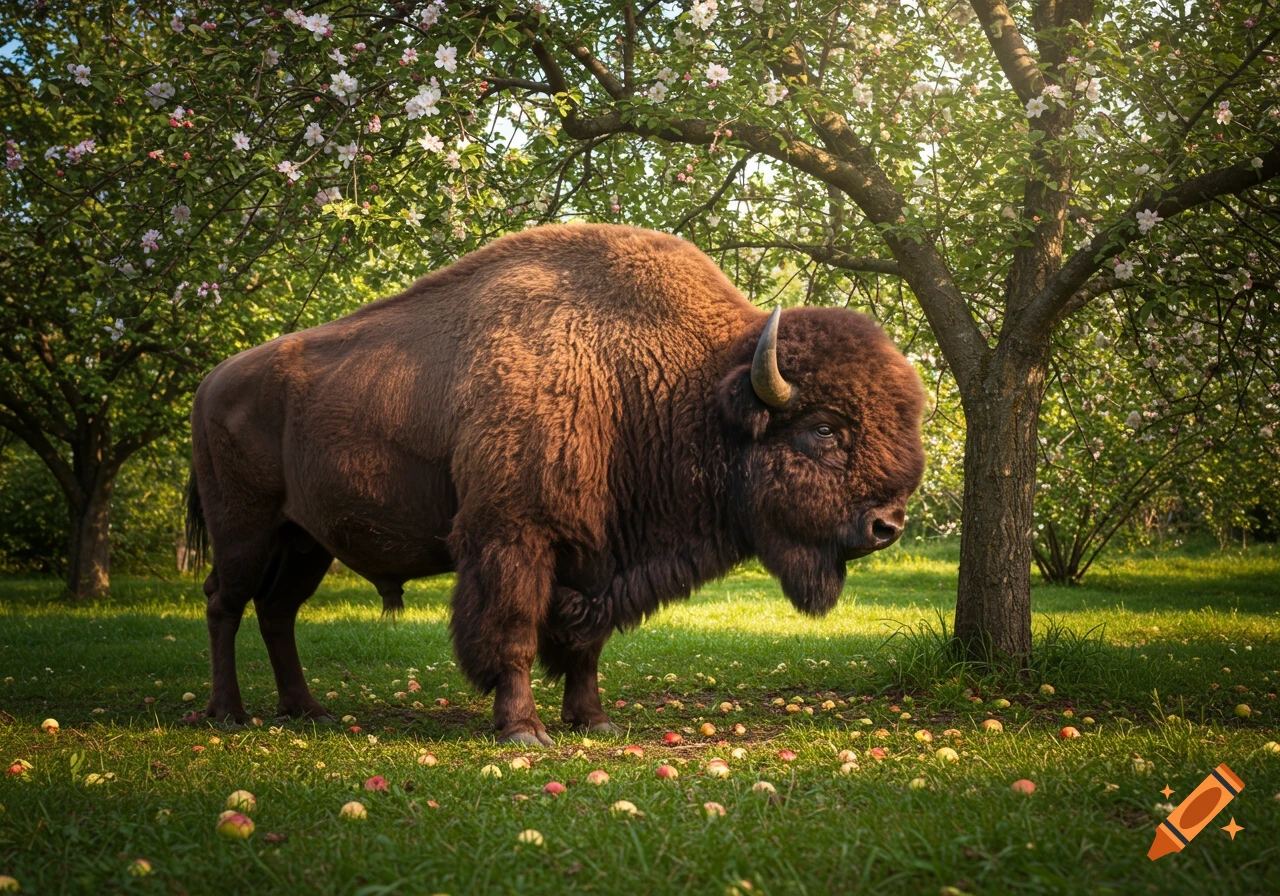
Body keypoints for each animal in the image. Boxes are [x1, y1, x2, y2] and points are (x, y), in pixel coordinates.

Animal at [185, 224, 925, 744]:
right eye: (824, 429)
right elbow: (512, 631)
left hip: (305, 541)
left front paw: (592, 720)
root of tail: (212, 381)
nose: (887, 525)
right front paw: (523, 730)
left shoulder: (597, 556)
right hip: (245, 529)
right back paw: (229, 713)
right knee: (225, 603)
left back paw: (306, 710)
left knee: (278, 611)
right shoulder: (514, 538)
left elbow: (583, 643)